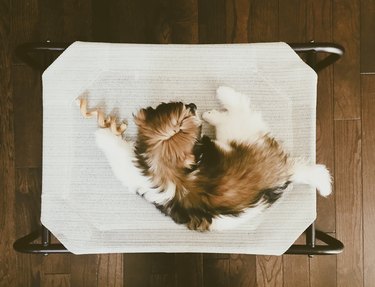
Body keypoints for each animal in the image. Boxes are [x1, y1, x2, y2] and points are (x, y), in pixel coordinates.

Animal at [89, 87, 330, 232]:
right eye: (185, 110)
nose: (194, 106)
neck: (169, 165)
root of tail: (287, 171)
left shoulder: (132, 168)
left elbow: (118, 152)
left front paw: (104, 136)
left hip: (240, 131)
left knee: (240, 107)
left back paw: (222, 97)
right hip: (240, 133)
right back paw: (214, 110)